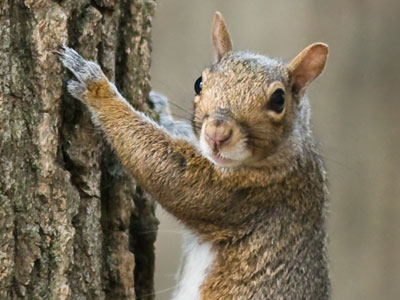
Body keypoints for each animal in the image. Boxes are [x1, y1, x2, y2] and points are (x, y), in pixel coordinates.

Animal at [57, 11, 330, 300]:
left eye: (279, 100)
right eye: (199, 83)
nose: (216, 134)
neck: (285, 154)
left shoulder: (247, 194)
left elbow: (169, 174)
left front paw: (98, 90)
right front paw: (161, 111)